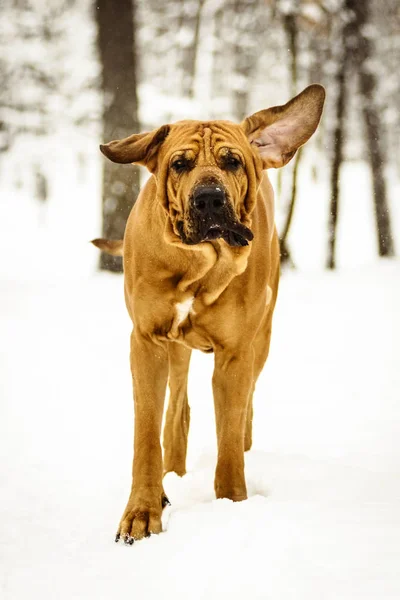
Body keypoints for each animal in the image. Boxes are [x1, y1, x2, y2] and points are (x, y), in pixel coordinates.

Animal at [93, 84, 324, 544]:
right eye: (179, 164)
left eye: (232, 161)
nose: (209, 200)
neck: (200, 263)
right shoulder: (146, 342)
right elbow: (147, 434)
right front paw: (142, 511)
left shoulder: (235, 353)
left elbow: (230, 438)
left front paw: (232, 505)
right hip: (175, 350)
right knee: (177, 412)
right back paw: (172, 478)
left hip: (261, 339)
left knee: (245, 412)